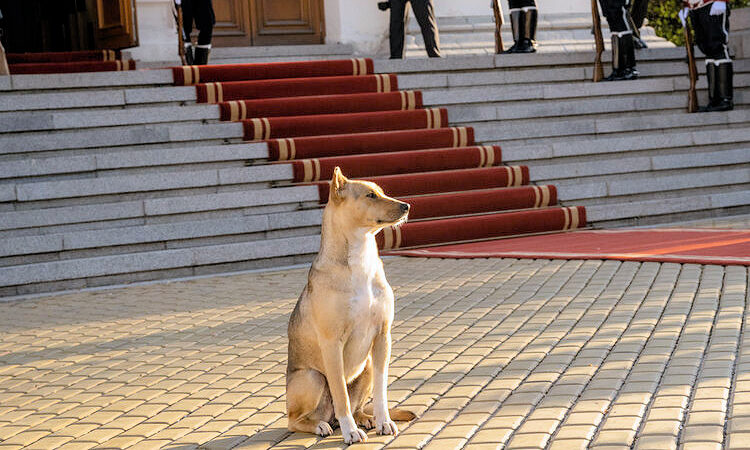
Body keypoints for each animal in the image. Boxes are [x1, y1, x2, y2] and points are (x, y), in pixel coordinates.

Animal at [288, 166, 418, 442]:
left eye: (381, 191)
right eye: (370, 195)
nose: (406, 206)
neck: (360, 259)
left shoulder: (383, 337)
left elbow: (381, 391)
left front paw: (383, 421)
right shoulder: (332, 345)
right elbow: (340, 395)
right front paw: (350, 432)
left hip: (365, 365)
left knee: (358, 406)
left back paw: (366, 419)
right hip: (311, 377)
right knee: (295, 420)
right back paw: (321, 425)